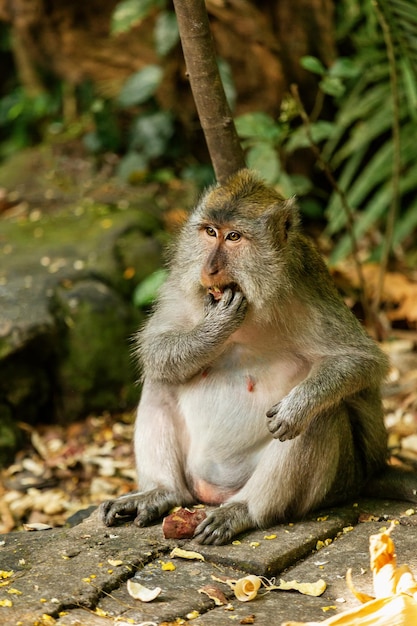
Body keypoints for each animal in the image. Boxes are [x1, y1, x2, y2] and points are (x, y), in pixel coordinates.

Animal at [100, 168, 416, 544]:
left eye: (234, 237)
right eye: (210, 232)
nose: (210, 269)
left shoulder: (307, 288)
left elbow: (362, 361)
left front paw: (299, 405)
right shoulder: (182, 280)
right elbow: (155, 348)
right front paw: (216, 327)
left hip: (338, 480)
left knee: (321, 417)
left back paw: (244, 509)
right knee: (162, 380)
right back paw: (162, 491)